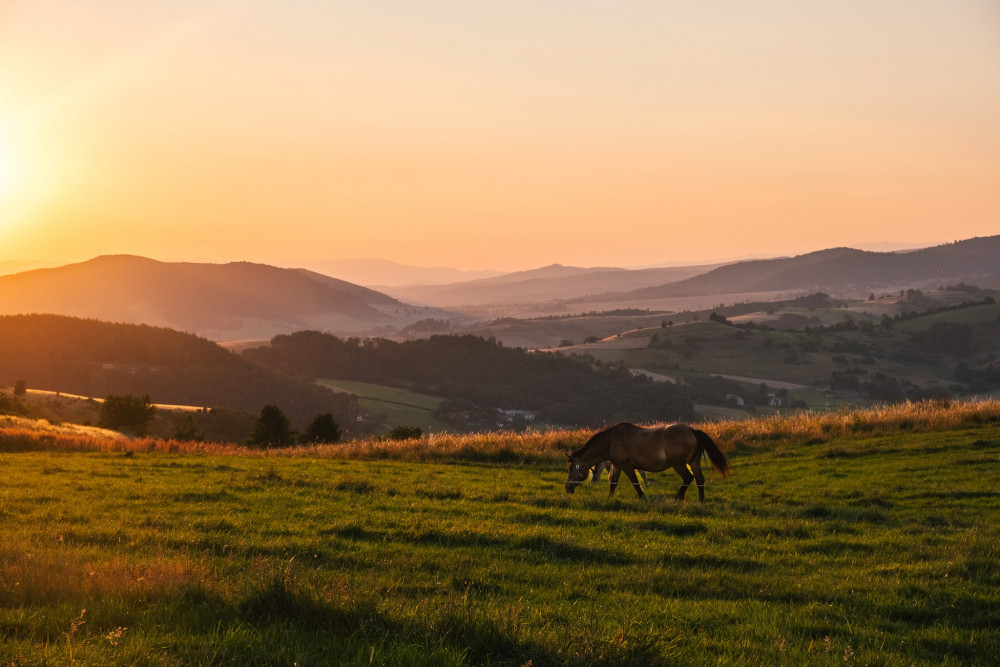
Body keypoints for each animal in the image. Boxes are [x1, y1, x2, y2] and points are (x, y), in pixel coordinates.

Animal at [568, 422, 732, 500]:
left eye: (571, 469)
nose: (567, 488)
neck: (612, 441)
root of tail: (692, 431)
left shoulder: (627, 467)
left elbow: (635, 483)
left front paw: (643, 498)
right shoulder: (618, 466)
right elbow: (613, 483)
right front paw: (609, 499)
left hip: (679, 465)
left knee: (688, 478)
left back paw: (678, 497)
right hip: (693, 463)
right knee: (699, 479)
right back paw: (701, 500)